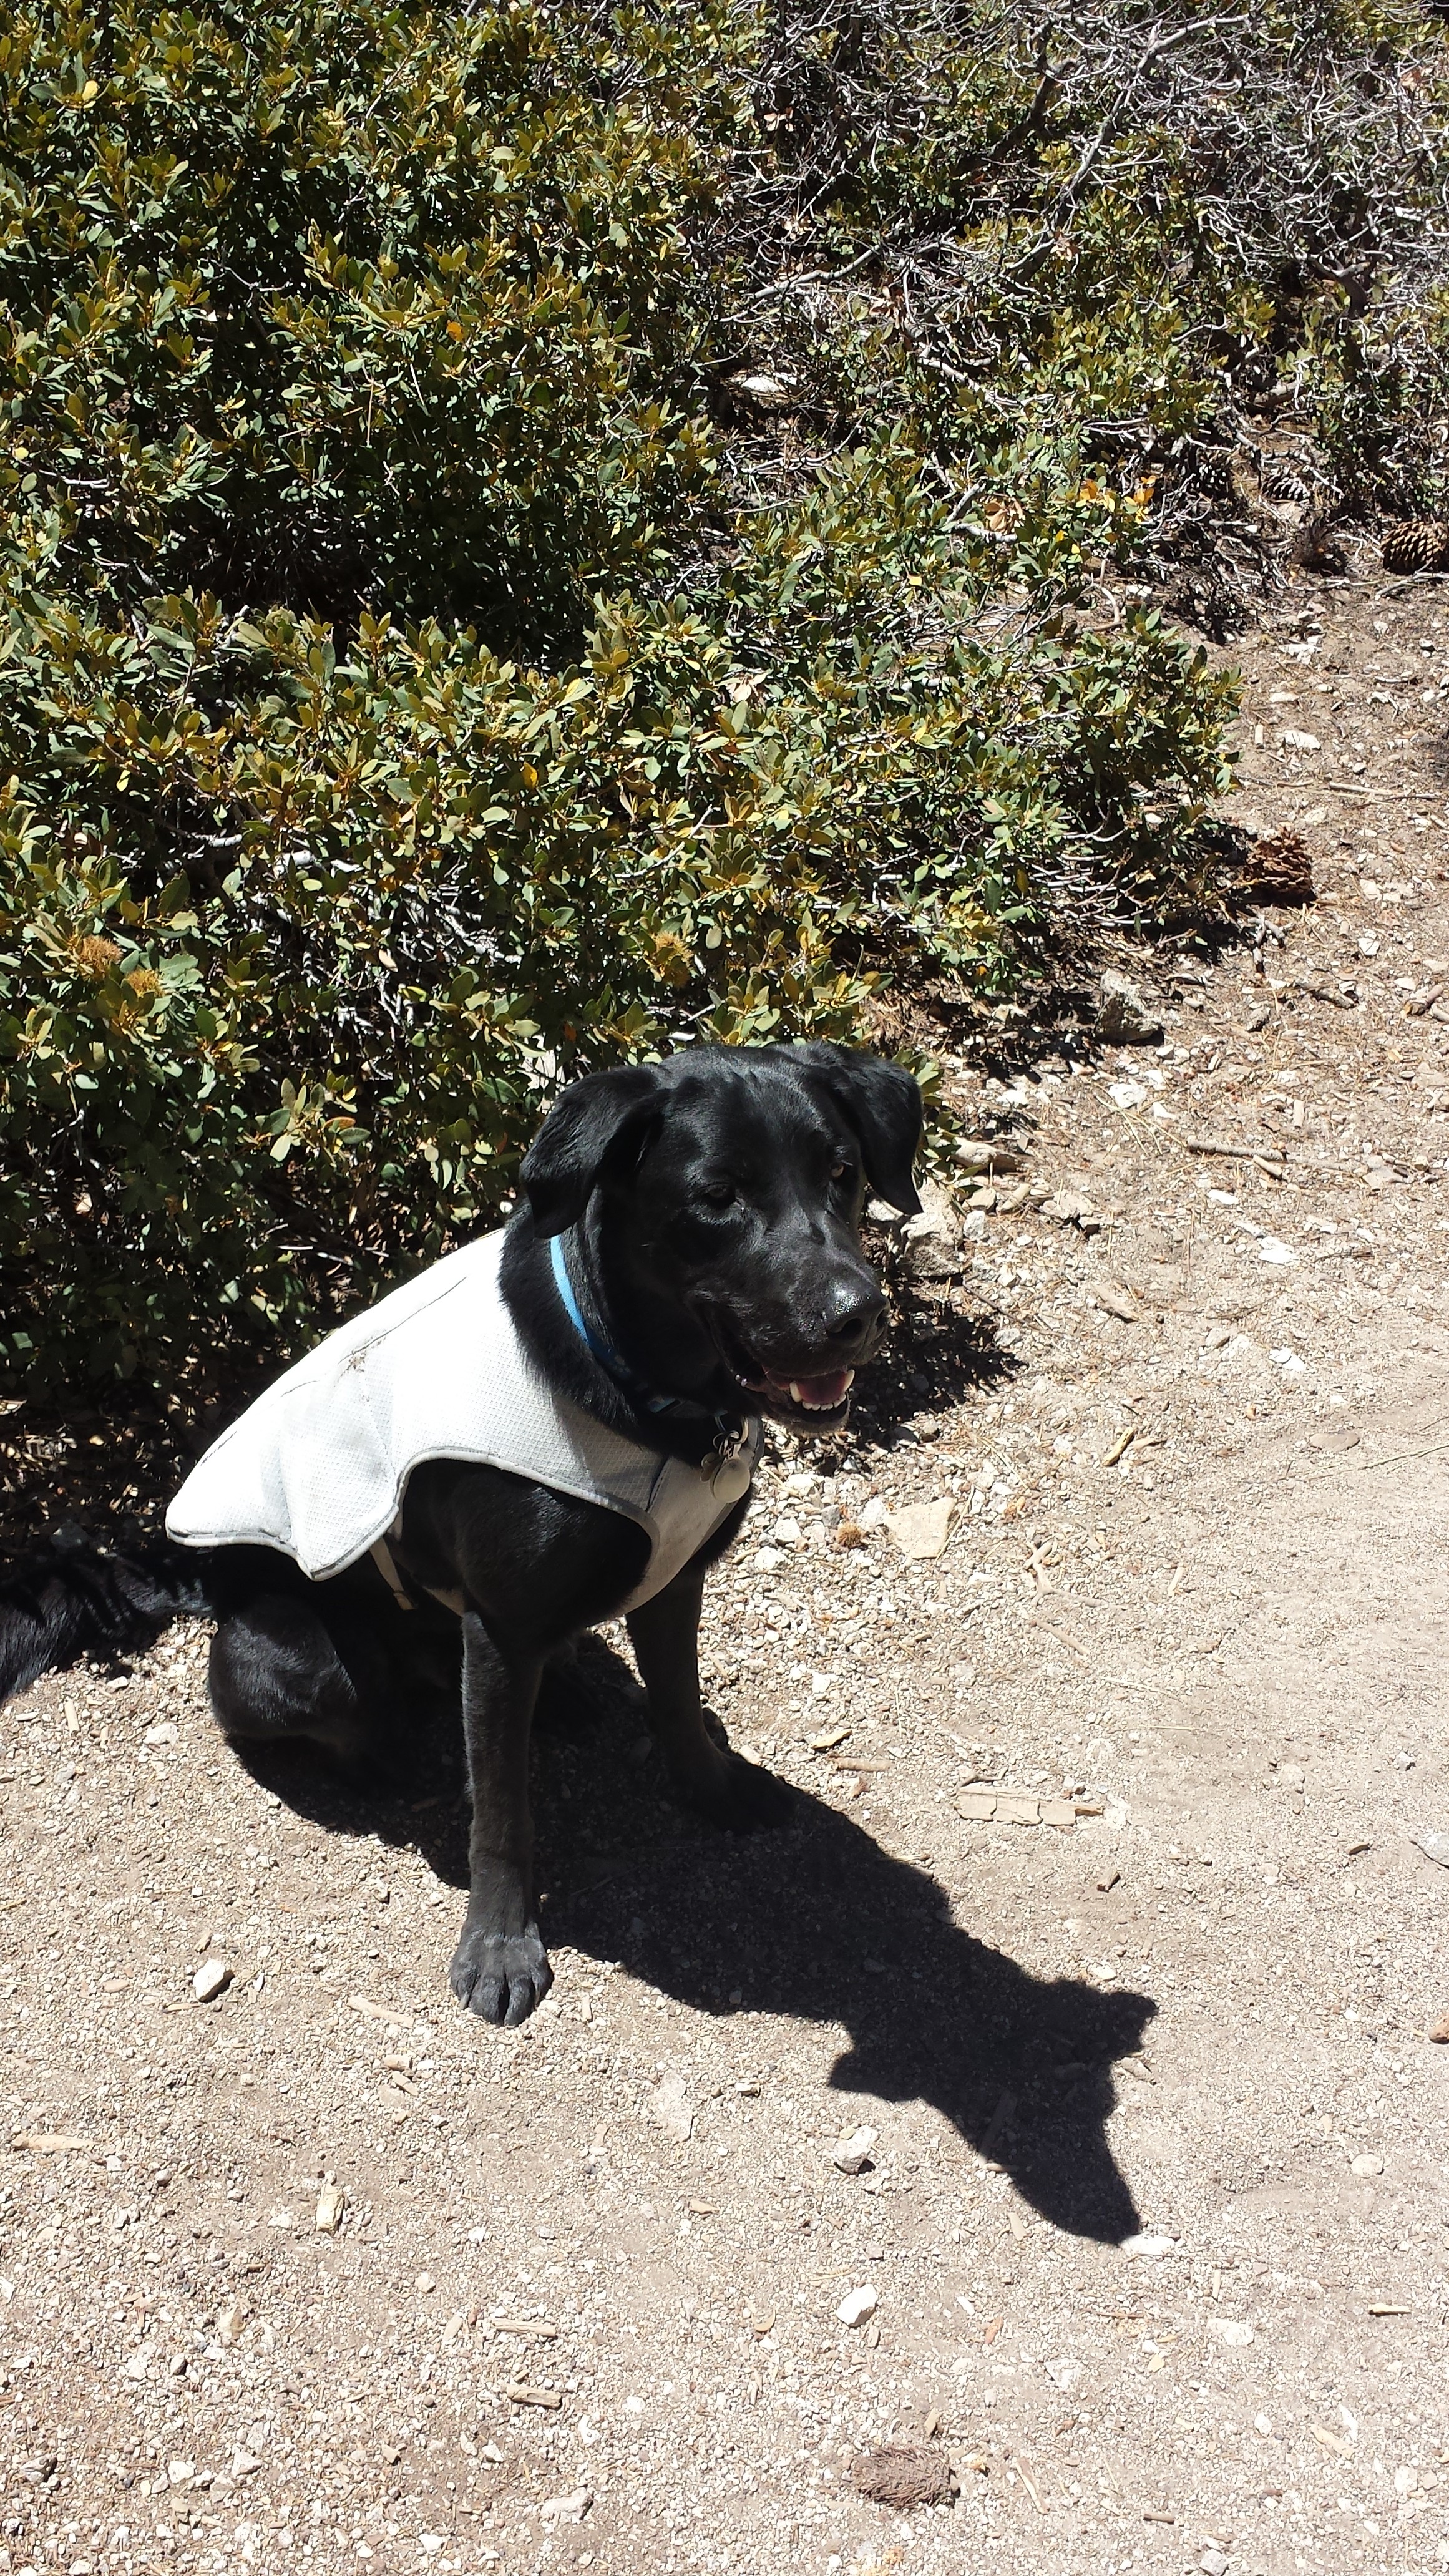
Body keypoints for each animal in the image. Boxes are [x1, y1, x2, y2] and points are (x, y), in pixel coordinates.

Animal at [1, 1043, 922, 2025]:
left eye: (842, 1173)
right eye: (717, 1196)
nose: (857, 1315)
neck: (633, 1382)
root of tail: (205, 1576)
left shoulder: (673, 1580)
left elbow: (676, 1701)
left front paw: (710, 1787)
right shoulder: (504, 1632)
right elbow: (504, 1812)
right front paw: (499, 1945)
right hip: (308, 1660)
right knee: (342, 1717)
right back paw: (392, 1760)